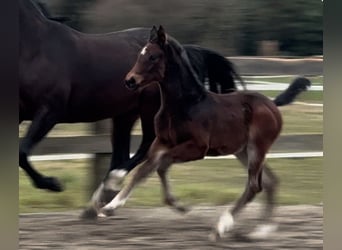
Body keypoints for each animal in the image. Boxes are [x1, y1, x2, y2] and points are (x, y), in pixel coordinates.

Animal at [100, 25, 308, 240]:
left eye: (153, 56)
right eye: (140, 54)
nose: (130, 81)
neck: (185, 104)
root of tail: (272, 104)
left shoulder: (198, 148)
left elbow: (160, 164)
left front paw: (179, 206)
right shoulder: (162, 142)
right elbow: (146, 169)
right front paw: (110, 207)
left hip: (257, 148)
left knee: (254, 186)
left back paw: (221, 227)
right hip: (243, 151)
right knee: (269, 181)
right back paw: (262, 230)